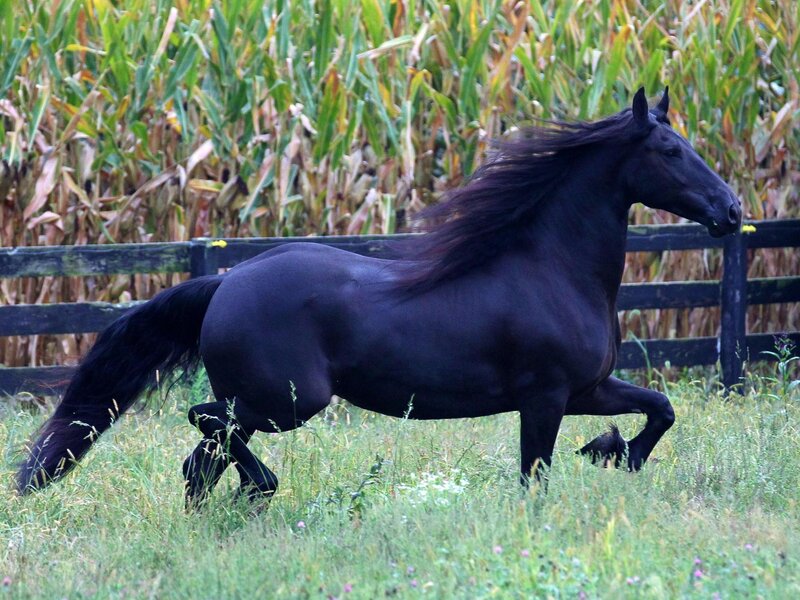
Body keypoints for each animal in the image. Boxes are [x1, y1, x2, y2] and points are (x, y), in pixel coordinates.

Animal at [17, 88, 741, 504]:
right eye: (671, 150)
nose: (731, 212)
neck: (553, 272)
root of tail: (226, 281)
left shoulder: (587, 388)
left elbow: (661, 408)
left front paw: (612, 452)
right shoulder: (546, 397)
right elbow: (533, 479)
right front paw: (606, 455)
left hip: (262, 405)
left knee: (201, 463)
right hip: (284, 402)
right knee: (204, 426)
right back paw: (263, 489)